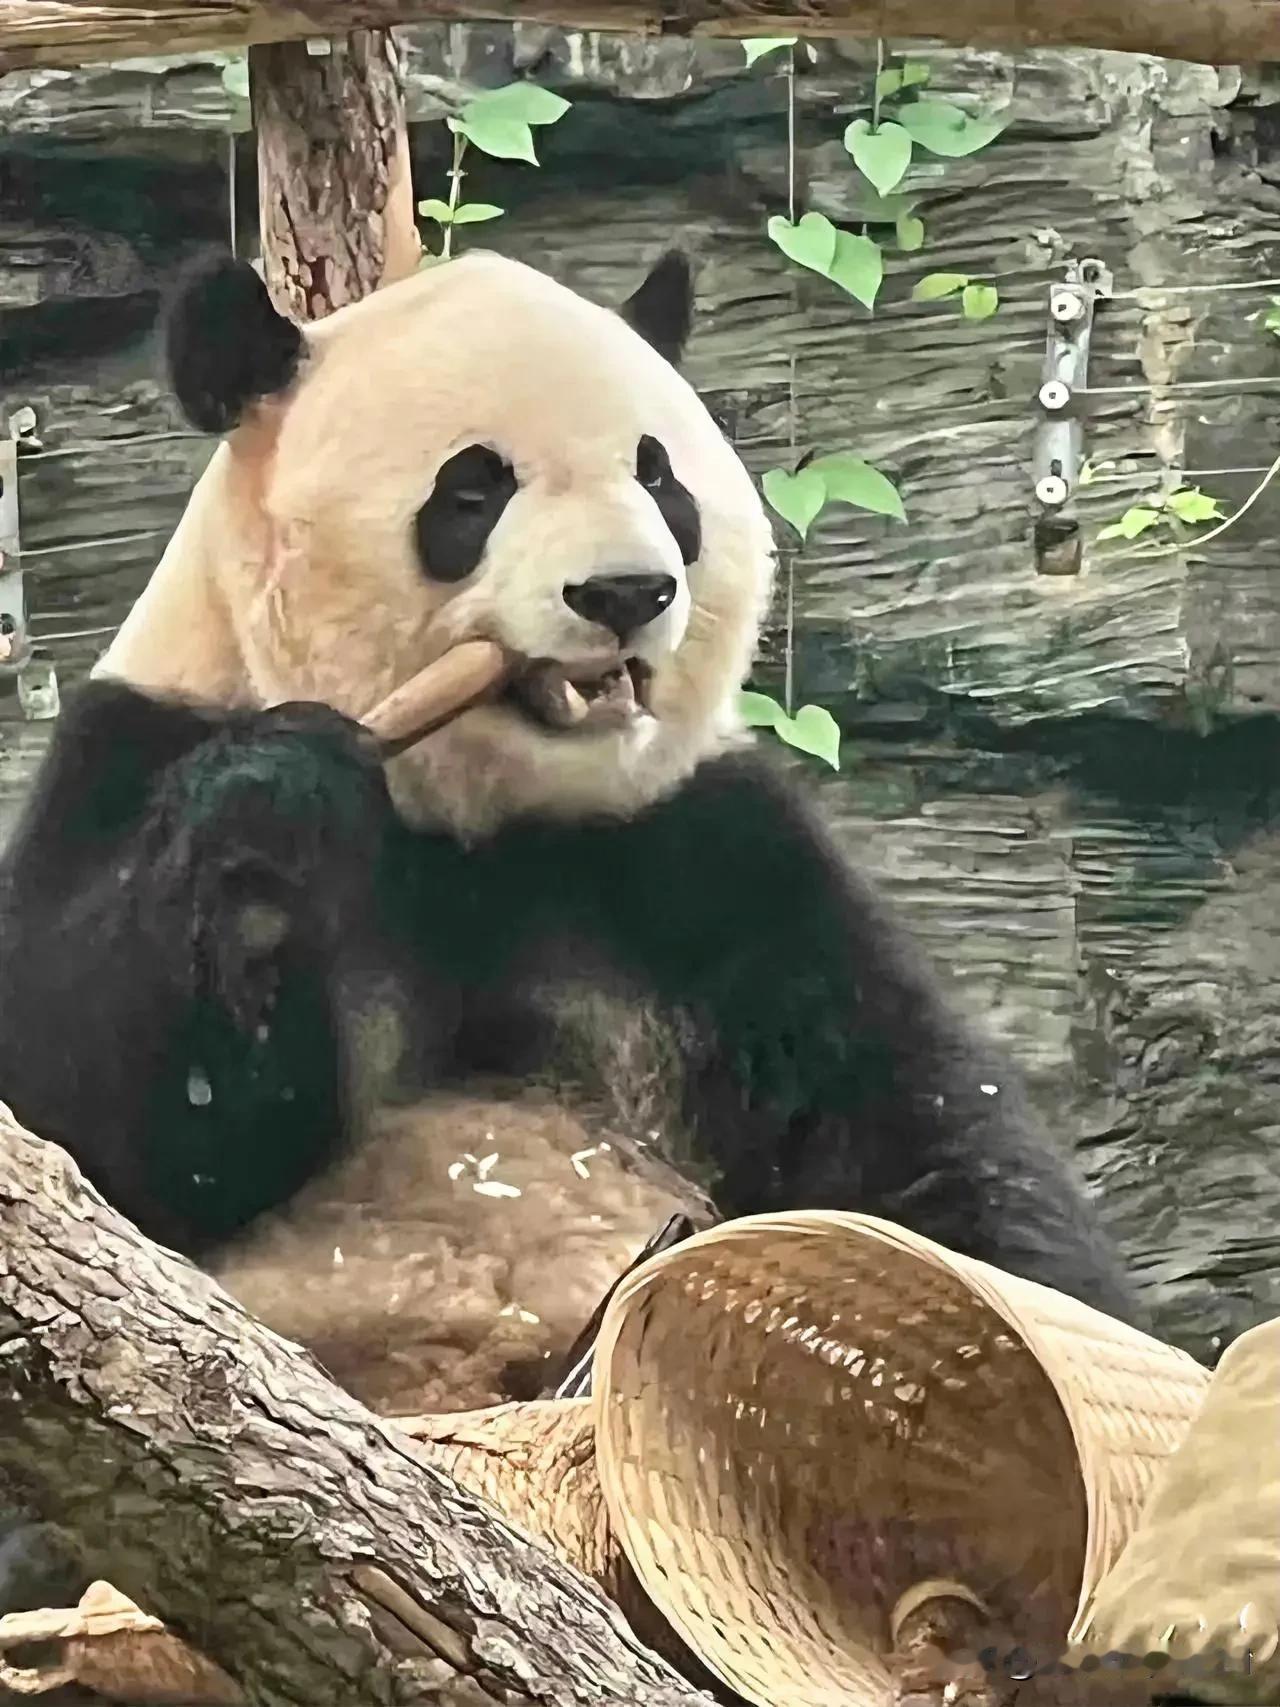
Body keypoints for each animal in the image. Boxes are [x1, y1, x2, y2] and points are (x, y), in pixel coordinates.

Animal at [0, 247, 1140, 1440]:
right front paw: (277, 815)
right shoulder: (133, 750)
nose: (625, 592)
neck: (479, 816)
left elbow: (912, 1128)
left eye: (660, 477)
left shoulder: (705, 849)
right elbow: (95, 1117)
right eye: (472, 490)